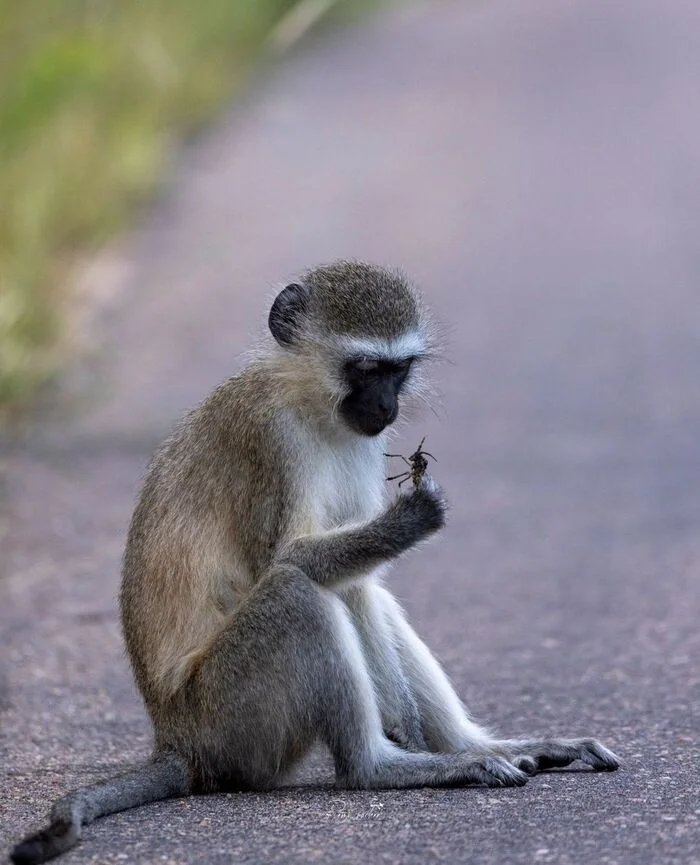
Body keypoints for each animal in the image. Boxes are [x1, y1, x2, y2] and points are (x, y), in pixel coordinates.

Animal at [12, 264, 616, 864]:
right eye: (365, 368)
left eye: (399, 370)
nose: (387, 408)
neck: (308, 402)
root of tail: (177, 743)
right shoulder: (266, 439)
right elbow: (291, 559)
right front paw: (412, 518)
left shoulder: (364, 444)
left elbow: (358, 586)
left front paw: (411, 725)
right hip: (229, 719)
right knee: (295, 591)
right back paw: (383, 768)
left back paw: (484, 747)